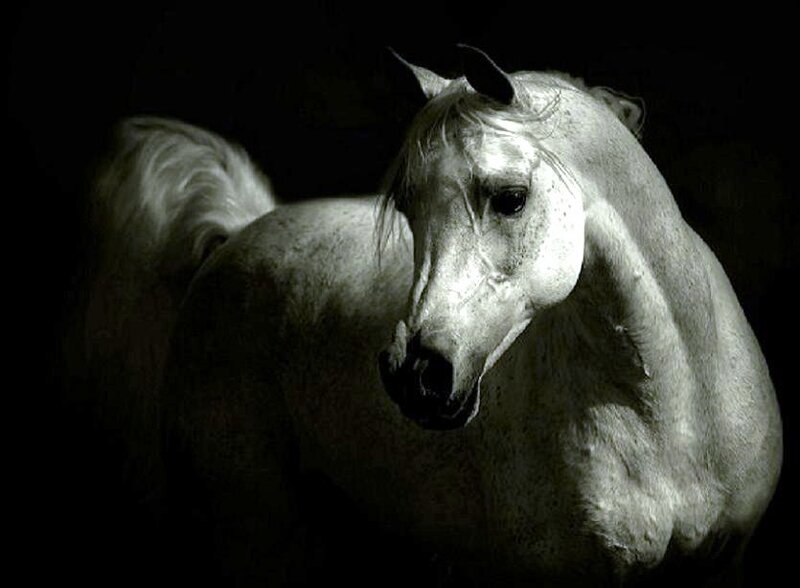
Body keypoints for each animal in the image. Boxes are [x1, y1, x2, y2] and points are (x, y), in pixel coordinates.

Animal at [81, 47, 782, 586]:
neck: (669, 414)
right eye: (408, 208)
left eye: (510, 198)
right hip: (258, 535)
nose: (414, 375)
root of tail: (238, 236)